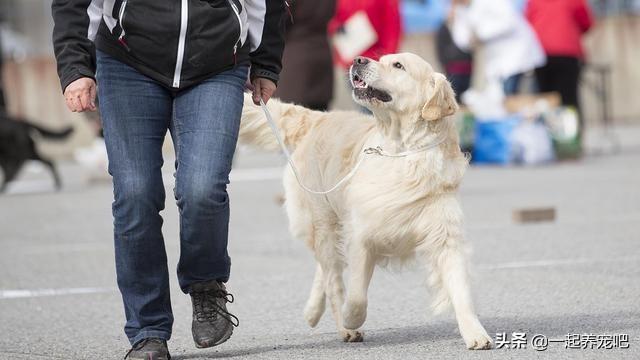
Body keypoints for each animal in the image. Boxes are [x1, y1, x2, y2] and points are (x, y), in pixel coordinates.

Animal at [240, 53, 496, 348]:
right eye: (382, 58)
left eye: (398, 65)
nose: (358, 60)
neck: (402, 152)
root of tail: (318, 118)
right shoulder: (362, 233)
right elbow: (357, 295)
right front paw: (350, 319)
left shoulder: (445, 235)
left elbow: (460, 288)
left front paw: (476, 333)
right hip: (321, 218)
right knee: (332, 273)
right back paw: (341, 325)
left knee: (326, 269)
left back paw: (312, 312)